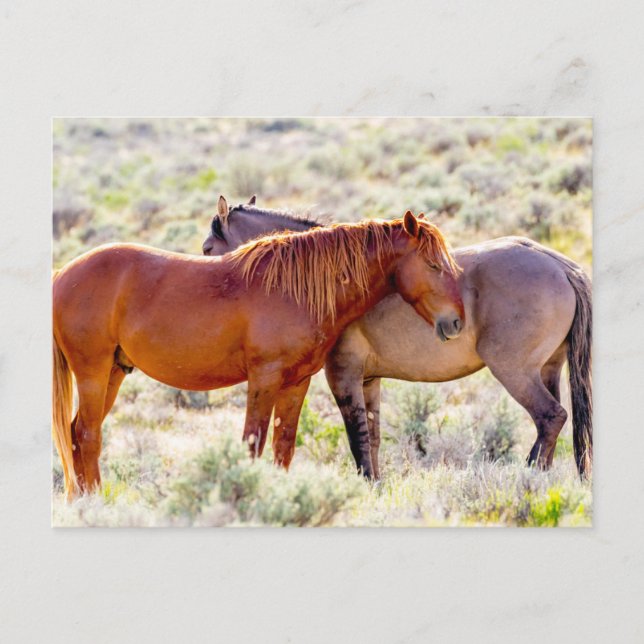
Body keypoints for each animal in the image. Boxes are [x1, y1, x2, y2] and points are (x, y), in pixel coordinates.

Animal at [53, 211, 464, 498]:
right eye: (432, 264)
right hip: (92, 372)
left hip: (113, 373)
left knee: (76, 434)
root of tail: (63, 275)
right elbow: (253, 443)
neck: (295, 289)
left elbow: (284, 445)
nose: (456, 322)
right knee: (87, 434)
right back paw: (95, 503)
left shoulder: (297, 382)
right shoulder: (264, 378)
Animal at [203, 198, 592, 480]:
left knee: (550, 418)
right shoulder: (369, 380)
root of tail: (560, 266)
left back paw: (528, 478)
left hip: (514, 371)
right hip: (548, 370)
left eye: (207, 249)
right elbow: (373, 440)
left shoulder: (342, 375)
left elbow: (357, 439)